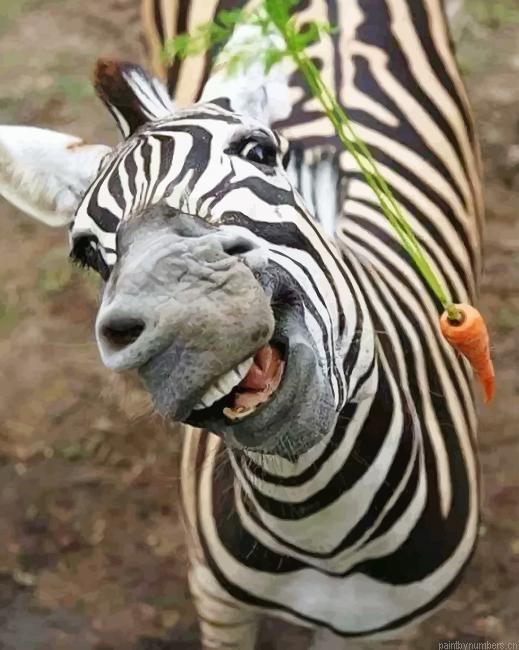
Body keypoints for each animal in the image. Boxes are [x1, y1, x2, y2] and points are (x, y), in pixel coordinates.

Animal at [0, 0, 484, 648]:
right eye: (86, 251)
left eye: (258, 152)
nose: (187, 316)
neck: (325, 529)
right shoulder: (215, 597)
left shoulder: (382, 629)